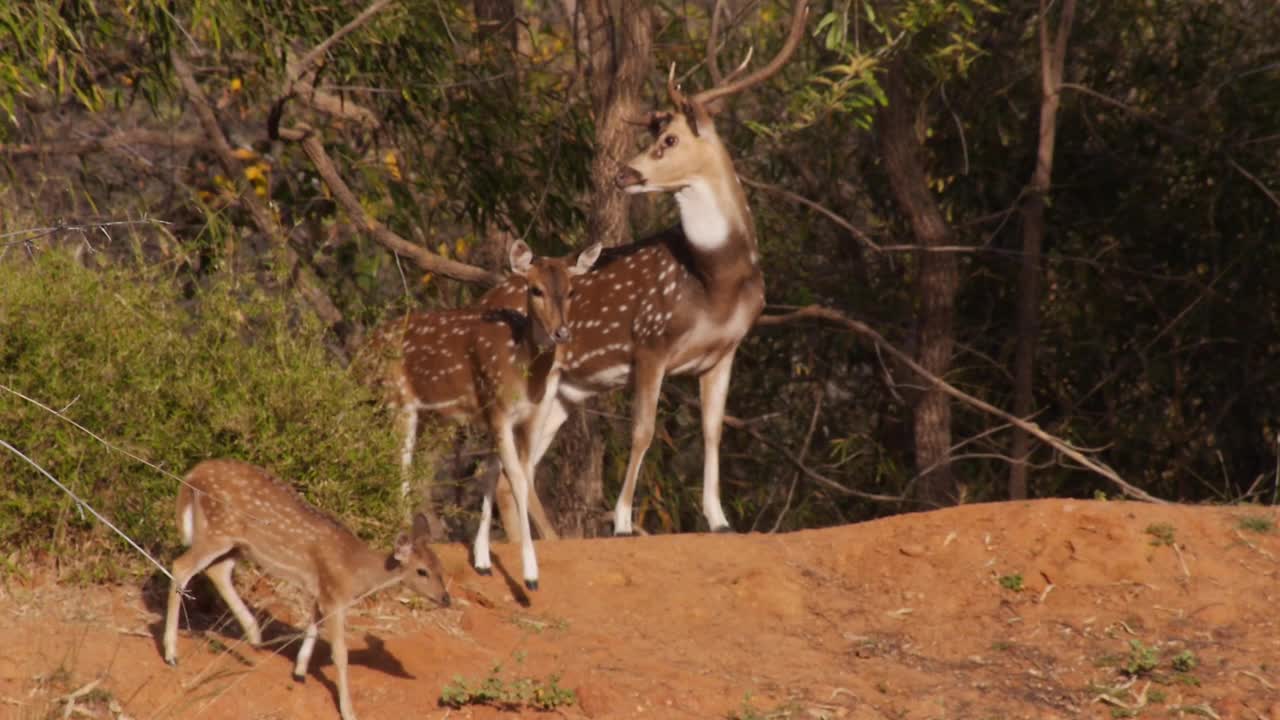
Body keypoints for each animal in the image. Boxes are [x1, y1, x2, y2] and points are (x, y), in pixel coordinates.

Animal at [163, 458, 450, 717]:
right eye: (422, 571)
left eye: (440, 566)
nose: (446, 599)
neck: (355, 570)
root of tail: (193, 474)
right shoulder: (335, 595)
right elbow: (340, 653)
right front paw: (348, 711)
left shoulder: (321, 592)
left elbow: (312, 625)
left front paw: (299, 672)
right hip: (219, 529)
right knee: (181, 566)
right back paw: (171, 654)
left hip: (235, 543)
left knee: (217, 571)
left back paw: (255, 636)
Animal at [371, 240, 604, 589]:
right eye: (535, 289)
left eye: (572, 291)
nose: (561, 333)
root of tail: (367, 344)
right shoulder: (498, 411)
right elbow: (517, 479)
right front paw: (530, 576)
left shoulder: (529, 417)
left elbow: (500, 476)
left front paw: (482, 559)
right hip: (399, 398)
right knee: (401, 459)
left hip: (434, 416)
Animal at [481, 0, 808, 535]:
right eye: (655, 135)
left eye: (670, 139)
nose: (622, 173)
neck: (715, 284)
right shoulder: (651, 340)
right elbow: (643, 432)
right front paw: (621, 521)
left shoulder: (724, 351)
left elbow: (713, 430)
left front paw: (719, 518)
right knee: (511, 470)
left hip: (566, 391)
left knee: (513, 477)